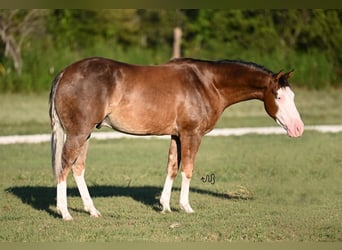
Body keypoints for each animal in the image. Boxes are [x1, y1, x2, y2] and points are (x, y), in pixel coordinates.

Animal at [48, 57, 304, 221]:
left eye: (292, 96)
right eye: (278, 96)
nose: (298, 128)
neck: (207, 84)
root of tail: (64, 73)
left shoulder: (176, 135)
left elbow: (172, 167)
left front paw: (164, 206)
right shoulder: (192, 134)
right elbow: (188, 169)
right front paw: (185, 206)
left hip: (86, 133)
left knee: (78, 167)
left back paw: (92, 210)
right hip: (79, 133)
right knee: (64, 166)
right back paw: (65, 213)